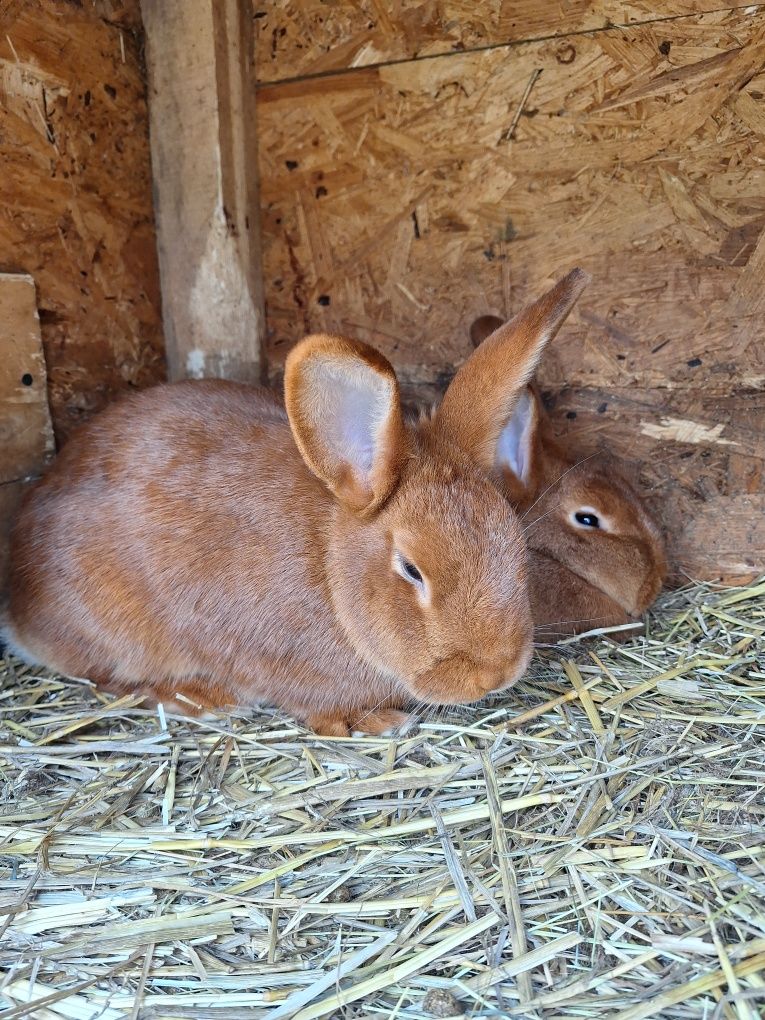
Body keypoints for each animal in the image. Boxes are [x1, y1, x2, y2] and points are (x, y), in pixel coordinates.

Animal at [0, 271, 591, 734]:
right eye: (411, 569)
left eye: (513, 542)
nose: (496, 672)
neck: (332, 575)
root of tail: (18, 608)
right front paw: (371, 721)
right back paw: (197, 697)